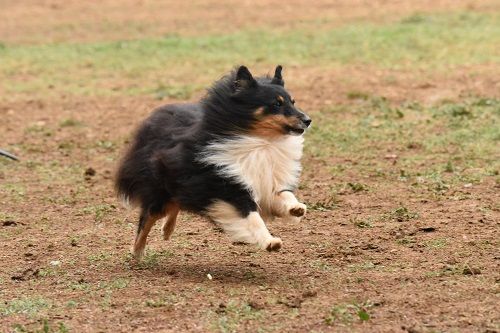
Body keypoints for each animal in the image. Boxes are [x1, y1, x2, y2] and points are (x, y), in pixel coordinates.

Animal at [118, 65, 312, 260]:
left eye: (292, 102)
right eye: (277, 104)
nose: (308, 120)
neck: (261, 142)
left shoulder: (266, 179)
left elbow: (284, 195)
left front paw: (296, 208)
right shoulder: (228, 187)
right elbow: (252, 218)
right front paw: (270, 242)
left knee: (175, 204)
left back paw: (166, 230)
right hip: (162, 191)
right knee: (148, 217)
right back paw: (137, 251)